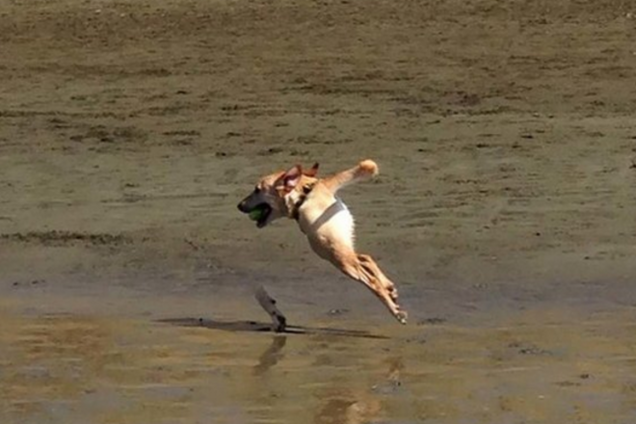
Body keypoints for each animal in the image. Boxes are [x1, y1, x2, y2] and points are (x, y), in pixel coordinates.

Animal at [238, 160, 408, 332]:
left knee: (371, 279)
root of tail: (321, 185)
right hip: (338, 248)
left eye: (257, 190)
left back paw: (396, 311)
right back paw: (389, 288)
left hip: (333, 254)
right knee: (365, 258)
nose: (239, 205)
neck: (302, 196)